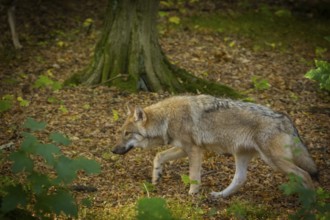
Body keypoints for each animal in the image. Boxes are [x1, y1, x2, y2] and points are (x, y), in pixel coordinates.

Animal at [112, 94, 318, 198]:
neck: (167, 118)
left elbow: (193, 176)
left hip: (273, 161)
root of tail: (285, 118)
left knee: (305, 175)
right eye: (121, 132)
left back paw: (310, 205)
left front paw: (192, 195)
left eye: (127, 133)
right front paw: (156, 176)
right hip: (241, 157)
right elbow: (158, 156)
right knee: (240, 180)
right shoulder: (183, 149)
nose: (112, 150)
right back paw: (219, 196)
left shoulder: (195, 150)